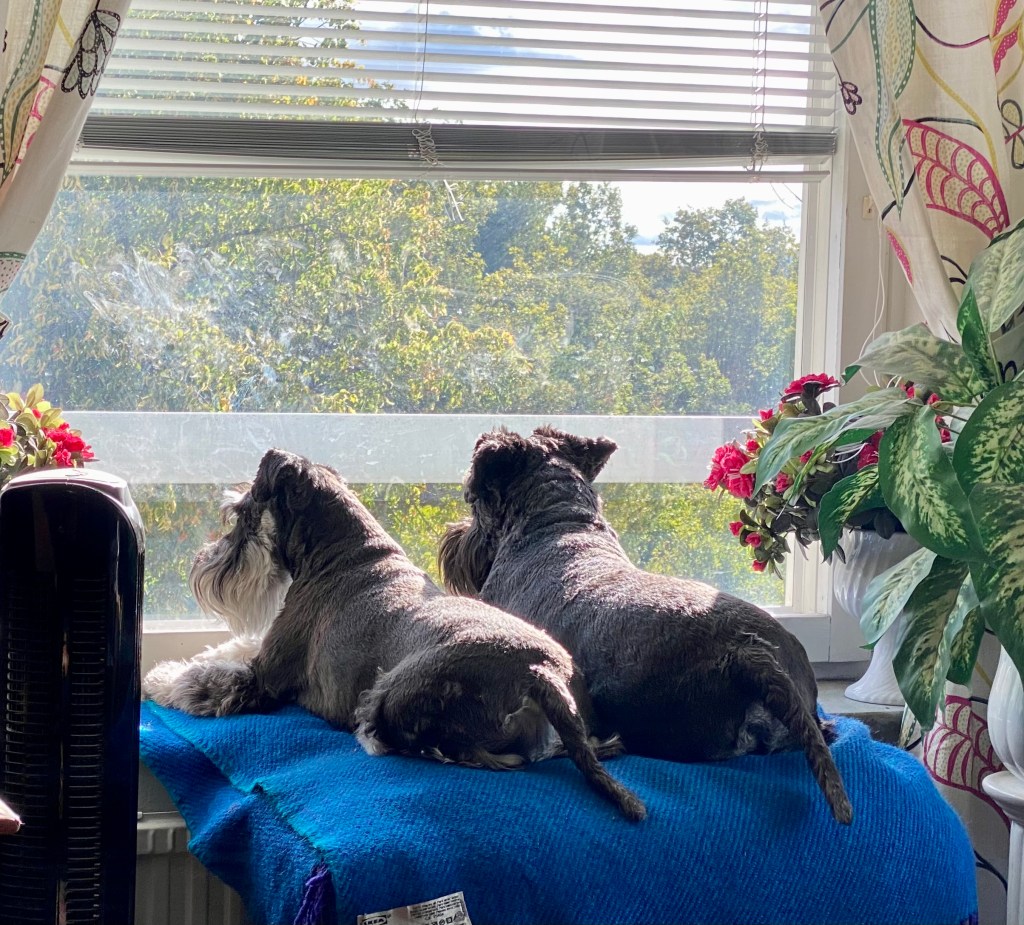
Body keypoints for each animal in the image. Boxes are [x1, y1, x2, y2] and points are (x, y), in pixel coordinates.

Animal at [143, 448, 645, 822]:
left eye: (242, 513)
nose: (203, 563)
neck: (345, 552)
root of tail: (539, 672)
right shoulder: (265, 650)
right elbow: (226, 650)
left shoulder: (263, 678)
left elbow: (201, 682)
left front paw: (157, 678)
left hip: (392, 690)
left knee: (433, 743)